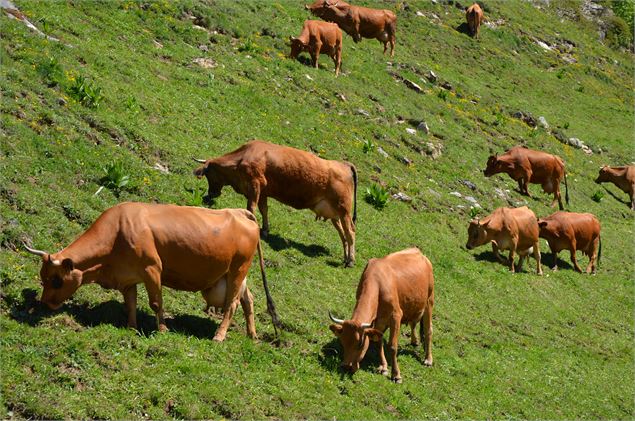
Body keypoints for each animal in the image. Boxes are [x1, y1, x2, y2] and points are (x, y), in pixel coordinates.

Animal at [25, 201, 278, 342]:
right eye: (43, 279)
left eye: (56, 280)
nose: (44, 303)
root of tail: (240, 212)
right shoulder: (127, 278)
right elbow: (130, 303)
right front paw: (131, 327)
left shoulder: (152, 268)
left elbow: (156, 303)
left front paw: (163, 329)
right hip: (231, 275)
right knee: (248, 299)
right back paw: (252, 334)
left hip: (238, 269)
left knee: (231, 305)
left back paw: (219, 335)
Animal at [193, 141, 358, 266]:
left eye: (208, 174)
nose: (211, 194)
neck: (242, 158)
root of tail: (344, 164)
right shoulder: (263, 192)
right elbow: (264, 210)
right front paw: (265, 230)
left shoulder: (255, 184)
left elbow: (251, 208)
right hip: (335, 214)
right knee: (343, 234)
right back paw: (345, 257)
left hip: (344, 210)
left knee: (350, 232)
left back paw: (350, 260)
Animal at [330, 248, 434, 382]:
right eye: (342, 341)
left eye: (360, 344)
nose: (346, 366)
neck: (378, 284)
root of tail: (418, 252)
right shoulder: (378, 320)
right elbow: (379, 342)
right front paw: (384, 367)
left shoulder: (396, 316)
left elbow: (392, 346)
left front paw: (396, 374)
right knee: (413, 322)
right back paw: (414, 341)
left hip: (429, 301)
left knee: (428, 330)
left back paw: (428, 359)